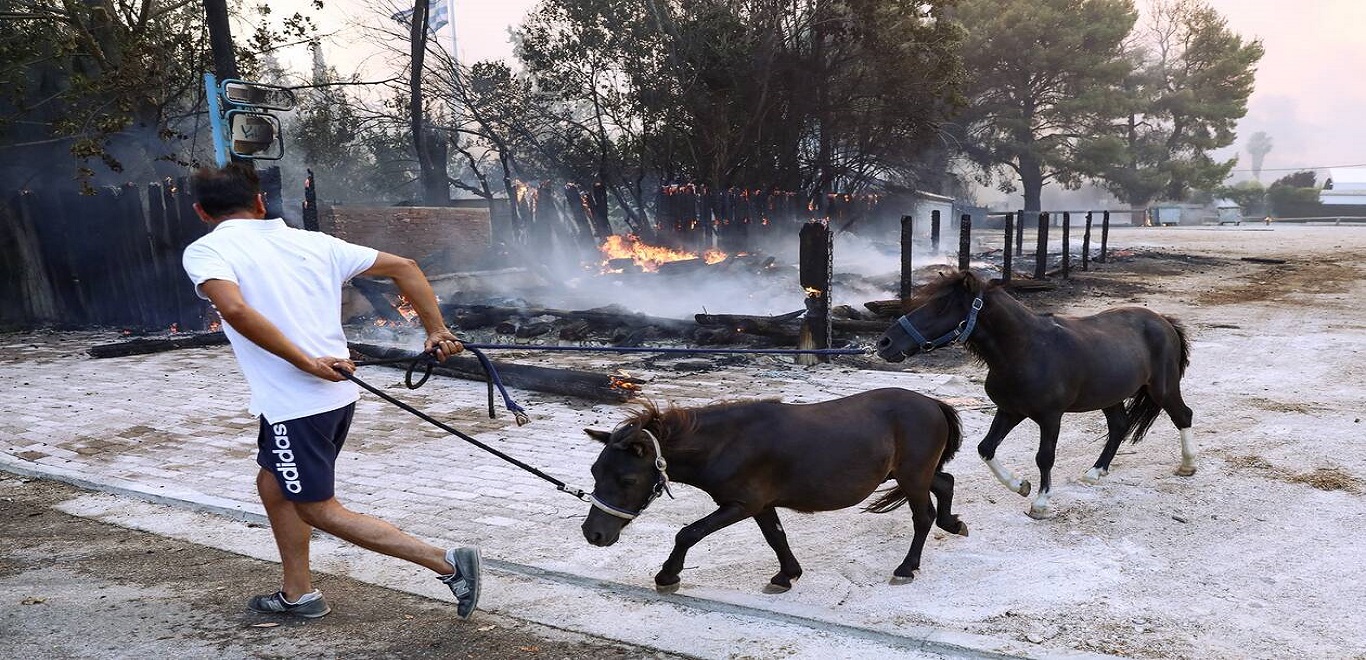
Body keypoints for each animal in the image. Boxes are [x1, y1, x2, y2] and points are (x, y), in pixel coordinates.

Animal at [581, 388, 967, 593]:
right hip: (911, 475)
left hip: (912, 477)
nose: (593, 534)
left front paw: (667, 575)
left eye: (628, 480)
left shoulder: (742, 504)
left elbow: (689, 533)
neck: (728, 442)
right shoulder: (761, 505)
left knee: (923, 516)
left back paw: (907, 567)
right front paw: (787, 574)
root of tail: (933, 403)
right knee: (945, 483)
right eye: (595, 472)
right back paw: (954, 524)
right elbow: (776, 537)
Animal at [874, 271, 1196, 519]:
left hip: (1163, 388)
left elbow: (1045, 457)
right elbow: (985, 448)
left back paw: (1187, 466)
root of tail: (1163, 321)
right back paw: (1095, 472)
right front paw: (1020, 486)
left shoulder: (1050, 417)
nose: (884, 343)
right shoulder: (1010, 410)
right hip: (1110, 396)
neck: (1026, 350)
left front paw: (1040, 503)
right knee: (1119, 426)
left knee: (1183, 416)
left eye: (941, 304)